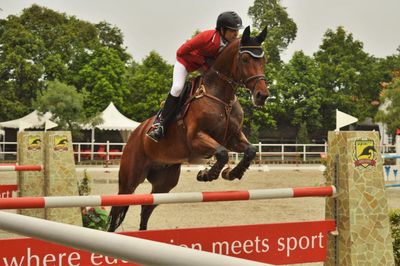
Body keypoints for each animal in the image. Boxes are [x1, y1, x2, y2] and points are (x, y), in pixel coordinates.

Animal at [107, 26, 268, 232]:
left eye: (263, 60)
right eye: (246, 59)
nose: (262, 95)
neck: (222, 97)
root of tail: (136, 133)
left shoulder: (233, 138)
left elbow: (250, 150)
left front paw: (232, 173)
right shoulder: (196, 138)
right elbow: (222, 153)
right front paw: (207, 175)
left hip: (164, 182)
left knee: (146, 207)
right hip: (130, 179)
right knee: (117, 210)